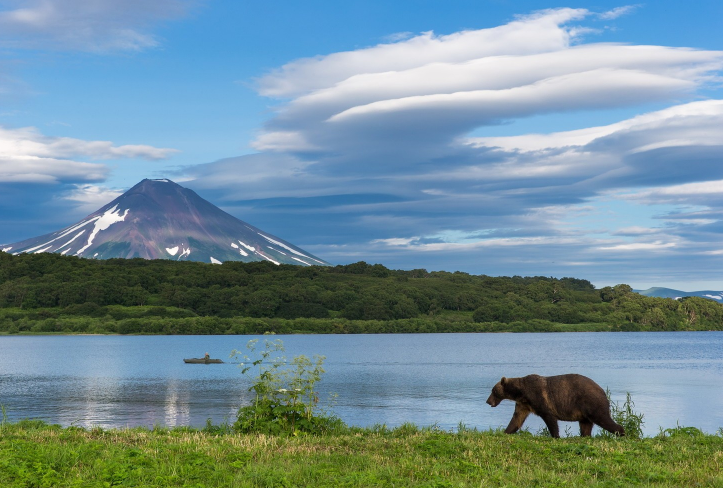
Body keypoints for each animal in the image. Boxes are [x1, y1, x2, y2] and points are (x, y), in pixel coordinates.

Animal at [490, 374, 624, 438]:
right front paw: (506, 431)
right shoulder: (523, 404)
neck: (521, 392)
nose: (488, 401)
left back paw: (622, 432)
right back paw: (585, 436)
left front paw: (556, 436)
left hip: (591, 402)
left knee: (603, 419)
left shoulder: (539, 398)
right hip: (584, 412)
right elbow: (517, 419)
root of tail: (603, 391)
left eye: (493, 391)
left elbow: (549, 417)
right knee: (585, 425)